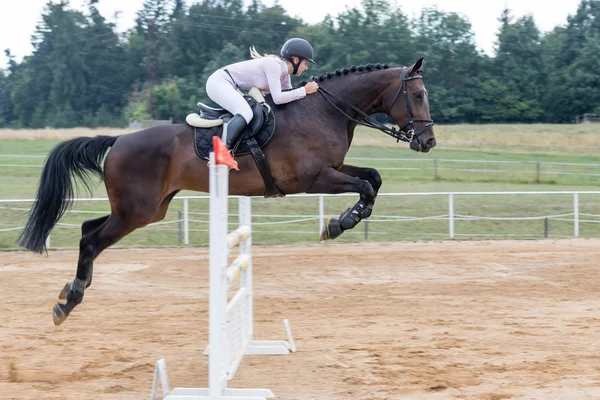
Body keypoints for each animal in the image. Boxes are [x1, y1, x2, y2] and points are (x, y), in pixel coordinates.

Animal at [15, 57, 436, 324]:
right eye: (417, 96)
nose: (428, 141)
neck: (324, 111)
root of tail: (118, 141)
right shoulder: (314, 179)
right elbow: (365, 184)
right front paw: (339, 224)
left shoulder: (332, 170)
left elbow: (373, 178)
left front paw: (342, 221)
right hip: (136, 211)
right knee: (91, 239)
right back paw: (69, 301)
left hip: (147, 209)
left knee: (89, 230)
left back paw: (70, 293)